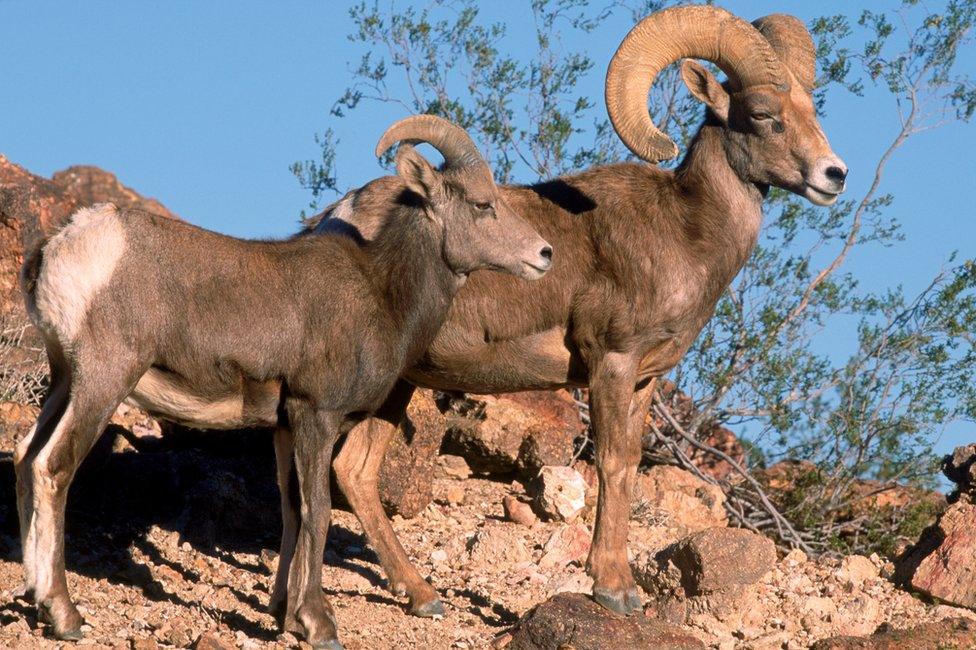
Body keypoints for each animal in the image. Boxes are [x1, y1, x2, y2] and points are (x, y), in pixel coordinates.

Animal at [15, 114, 552, 644]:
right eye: (483, 204)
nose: (544, 254)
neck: (382, 293)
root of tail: (62, 245)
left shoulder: (284, 425)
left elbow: (292, 508)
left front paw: (283, 615)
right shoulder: (317, 414)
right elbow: (318, 509)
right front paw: (318, 623)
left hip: (64, 381)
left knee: (24, 459)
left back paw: (34, 599)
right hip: (104, 380)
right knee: (53, 467)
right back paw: (65, 616)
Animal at [304, 6, 848, 616]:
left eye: (812, 111)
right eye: (761, 114)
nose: (834, 175)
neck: (686, 234)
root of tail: (339, 215)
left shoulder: (643, 381)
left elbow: (629, 466)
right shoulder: (611, 361)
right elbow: (610, 463)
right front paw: (612, 590)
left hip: (399, 383)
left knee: (354, 471)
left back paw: (422, 596)